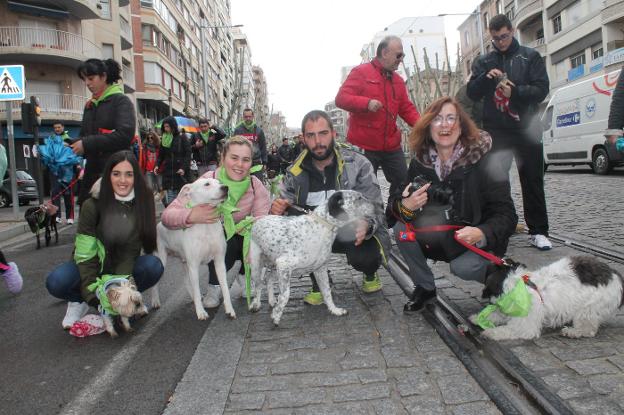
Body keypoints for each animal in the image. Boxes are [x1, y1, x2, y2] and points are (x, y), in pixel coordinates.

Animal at [249, 190, 376, 326]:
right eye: (359, 198)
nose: (378, 206)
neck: (321, 228)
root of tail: (260, 218)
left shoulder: (320, 268)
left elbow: (327, 292)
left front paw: (334, 310)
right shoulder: (284, 265)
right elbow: (285, 295)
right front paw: (276, 316)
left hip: (274, 265)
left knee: (268, 279)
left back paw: (272, 300)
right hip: (257, 265)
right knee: (258, 285)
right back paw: (256, 304)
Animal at [472, 256, 624, 342]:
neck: (519, 286)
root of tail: (616, 276)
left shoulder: (525, 325)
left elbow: (507, 329)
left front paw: (490, 332)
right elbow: (496, 314)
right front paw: (476, 317)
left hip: (588, 310)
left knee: (588, 329)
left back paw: (573, 332)